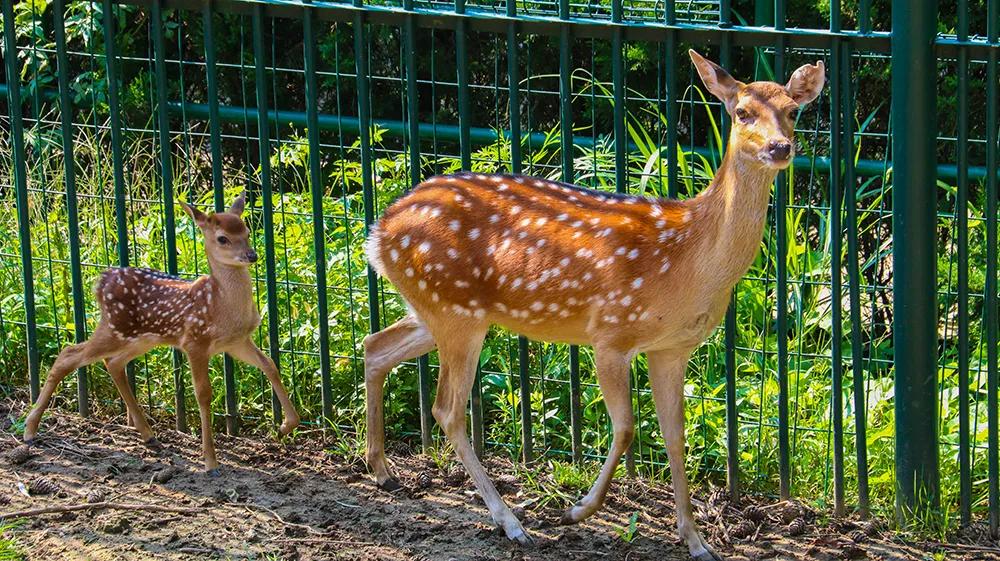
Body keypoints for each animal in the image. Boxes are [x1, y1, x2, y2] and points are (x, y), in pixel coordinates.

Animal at [21, 191, 298, 472]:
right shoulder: (195, 342)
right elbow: (203, 394)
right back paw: (30, 430)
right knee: (68, 354)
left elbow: (270, 364)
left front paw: (286, 426)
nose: (251, 255)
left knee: (113, 363)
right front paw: (210, 461)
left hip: (140, 338)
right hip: (114, 328)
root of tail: (100, 282)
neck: (221, 305)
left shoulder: (236, 342)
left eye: (246, 230)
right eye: (223, 238)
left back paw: (149, 436)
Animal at [364, 50, 824, 556]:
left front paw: (696, 540)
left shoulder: (673, 348)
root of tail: (378, 232)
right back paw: (510, 522)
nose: (780, 147)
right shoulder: (611, 333)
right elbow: (625, 428)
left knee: (375, 347)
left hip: (435, 309)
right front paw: (578, 510)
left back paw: (383, 471)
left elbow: (675, 437)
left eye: (793, 111)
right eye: (742, 111)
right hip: (456, 311)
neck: (690, 259)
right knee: (446, 409)